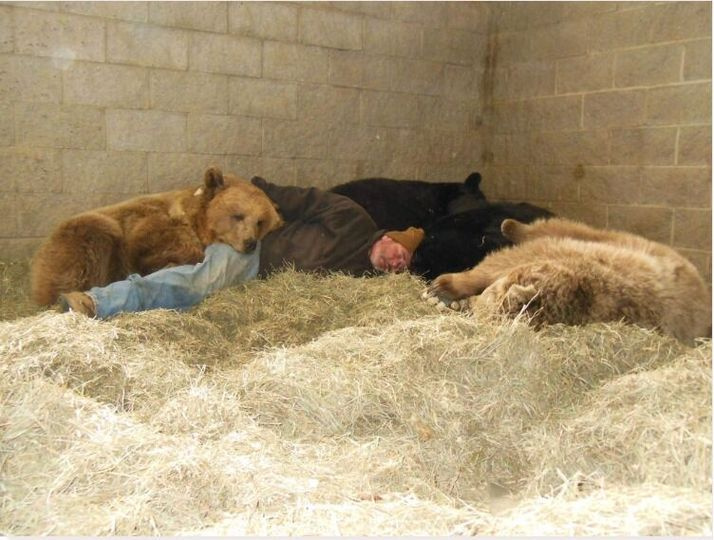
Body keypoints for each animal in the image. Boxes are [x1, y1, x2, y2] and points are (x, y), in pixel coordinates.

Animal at [30, 167, 282, 306]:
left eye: (260, 221)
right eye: (238, 215)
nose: (249, 243)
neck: (196, 221)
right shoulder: (149, 223)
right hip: (79, 237)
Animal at [426, 217, 708, 344]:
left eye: (487, 303)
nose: (472, 305)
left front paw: (446, 292)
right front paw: (446, 288)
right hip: (618, 240)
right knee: (561, 227)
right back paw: (511, 225)